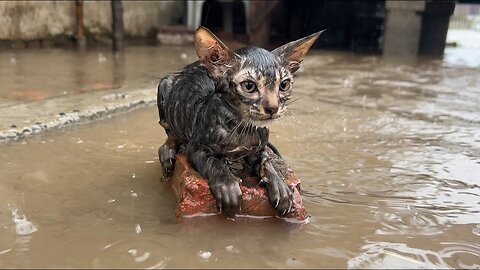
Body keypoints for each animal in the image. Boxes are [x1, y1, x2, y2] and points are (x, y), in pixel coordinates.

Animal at [158, 26, 322, 217]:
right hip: (165, 85)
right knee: (170, 132)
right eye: (249, 86)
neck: (243, 128)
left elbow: (267, 164)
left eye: (284, 85)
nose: (273, 108)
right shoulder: (196, 146)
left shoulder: (257, 150)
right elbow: (213, 163)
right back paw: (168, 152)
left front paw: (280, 186)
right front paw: (227, 185)